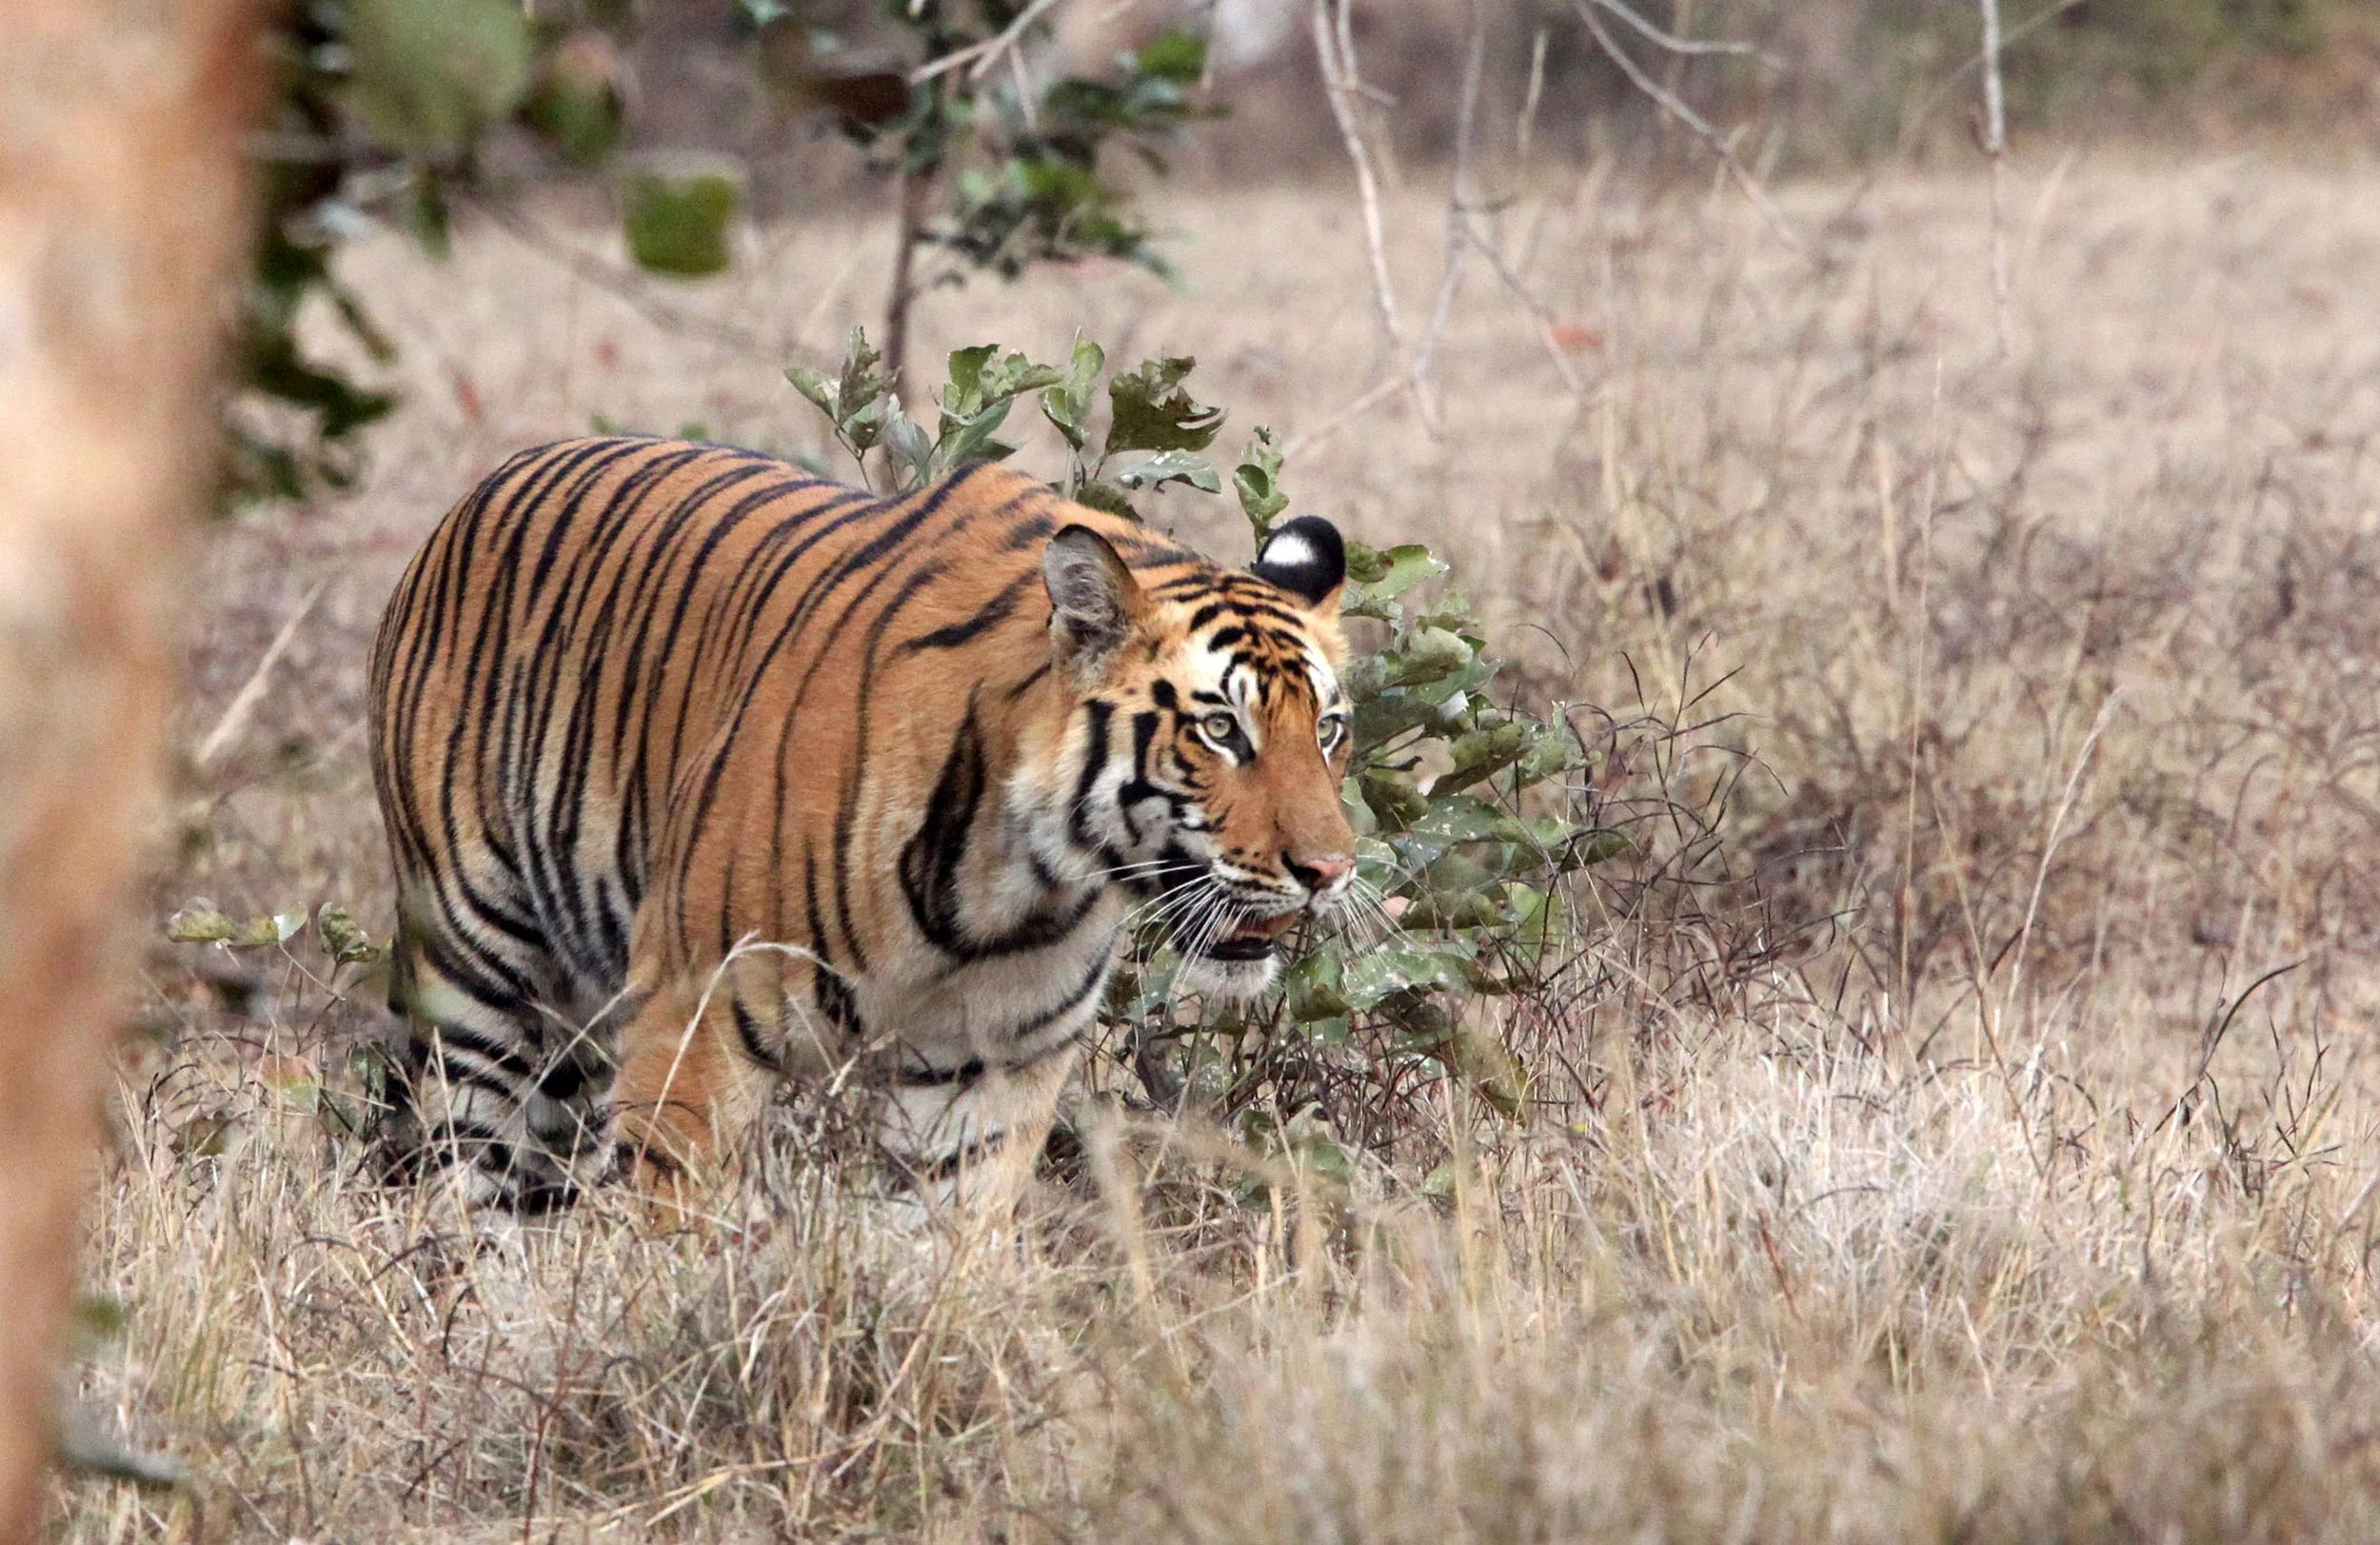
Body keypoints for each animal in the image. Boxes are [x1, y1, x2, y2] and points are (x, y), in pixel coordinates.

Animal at [367, 435, 1358, 1212]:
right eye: (1221, 730)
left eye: (1329, 730)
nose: (1331, 871)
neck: (1016, 885)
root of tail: (484, 487)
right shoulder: (694, 1018)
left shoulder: (990, 1072)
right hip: (478, 978)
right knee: (473, 1182)